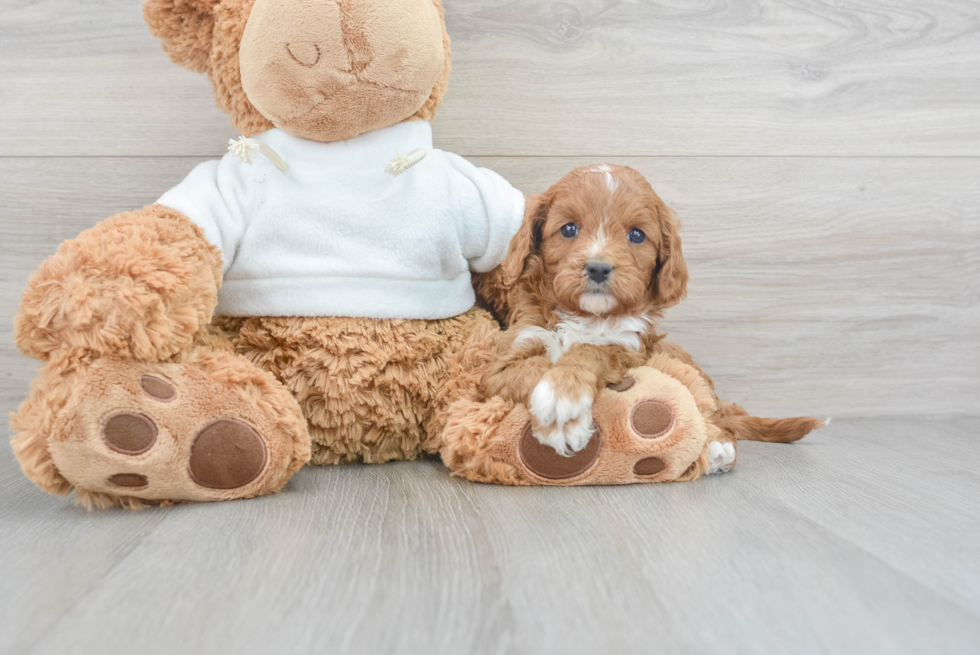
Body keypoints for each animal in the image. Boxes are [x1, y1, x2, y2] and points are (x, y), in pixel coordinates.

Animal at [478, 164, 824, 464]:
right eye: (568, 229)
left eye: (636, 235)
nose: (598, 268)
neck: (589, 316)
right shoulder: (505, 361)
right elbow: (532, 367)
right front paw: (562, 415)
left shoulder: (629, 349)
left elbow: (591, 350)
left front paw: (564, 395)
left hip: (685, 368)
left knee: (713, 410)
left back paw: (717, 445)